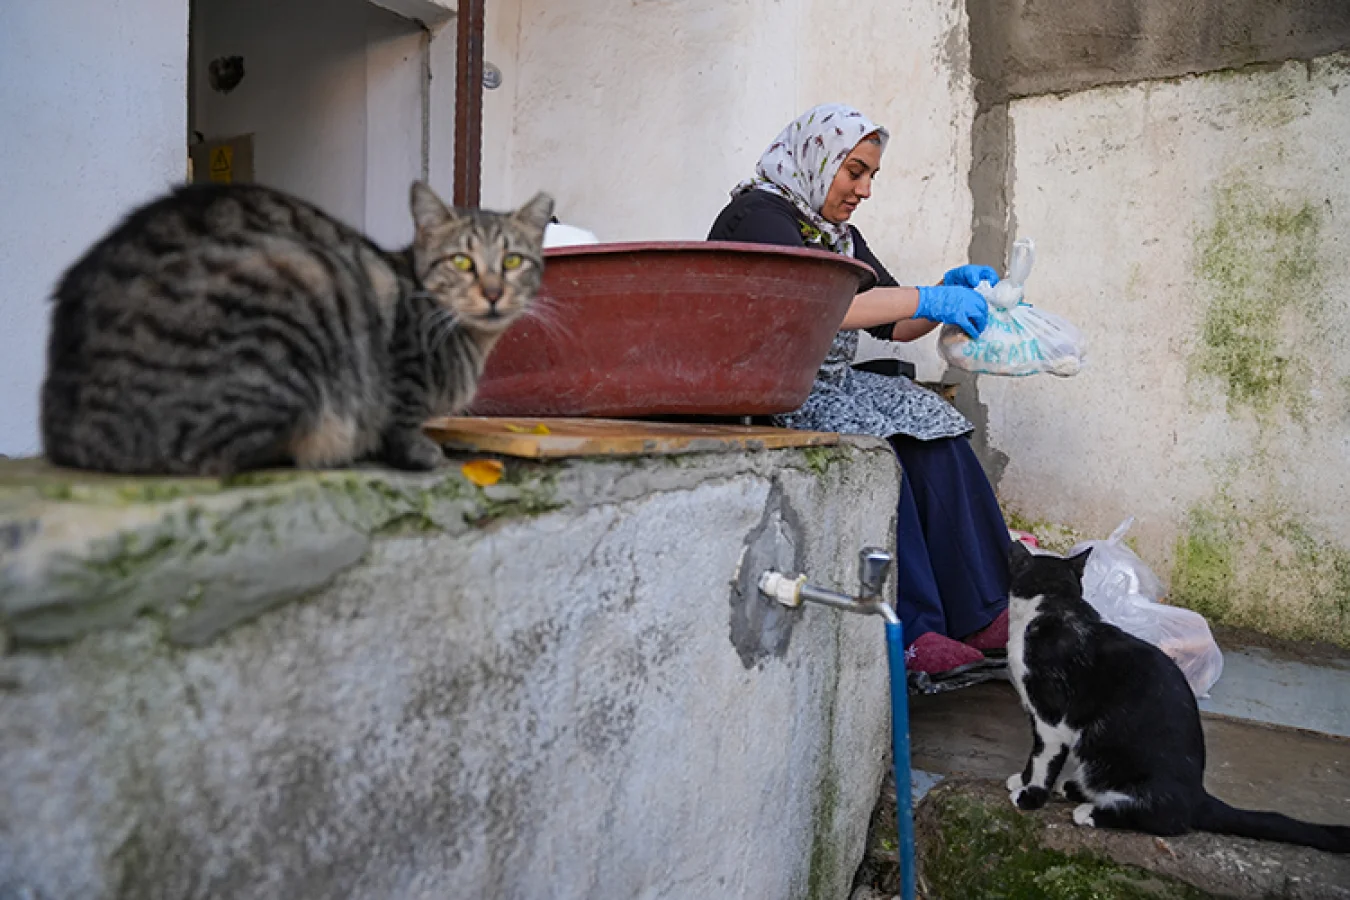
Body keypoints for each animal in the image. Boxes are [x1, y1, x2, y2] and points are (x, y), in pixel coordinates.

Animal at [43, 182, 548, 477]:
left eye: (513, 261)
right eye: (462, 261)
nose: (493, 292)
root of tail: (65, 432)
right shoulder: (399, 357)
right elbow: (399, 413)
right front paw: (417, 451)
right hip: (301, 283)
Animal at [1004, 539, 1350, 858]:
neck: (1054, 603)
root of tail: (1198, 795)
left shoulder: (1050, 716)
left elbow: (1043, 758)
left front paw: (1030, 794)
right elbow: (1035, 755)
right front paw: (1021, 779)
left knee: (1168, 821)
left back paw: (1090, 812)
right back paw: (1076, 789)